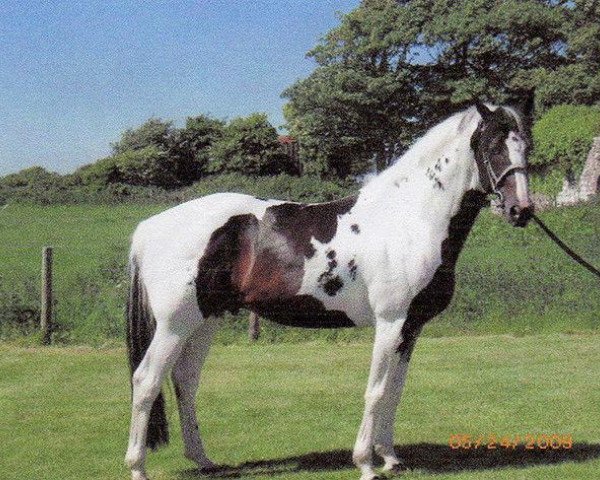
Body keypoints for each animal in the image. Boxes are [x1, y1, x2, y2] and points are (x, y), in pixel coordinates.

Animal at [124, 102, 532, 480]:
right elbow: (376, 390)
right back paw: (138, 467)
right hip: (175, 325)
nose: (522, 210)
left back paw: (204, 460)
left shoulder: (411, 327)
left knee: (185, 381)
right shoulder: (390, 322)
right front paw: (366, 463)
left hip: (204, 321)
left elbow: (395, 391)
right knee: (146, 381)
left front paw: (391, 458)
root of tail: (148, 227)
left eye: (525, 145)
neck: (410, 219)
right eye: (493, 146)